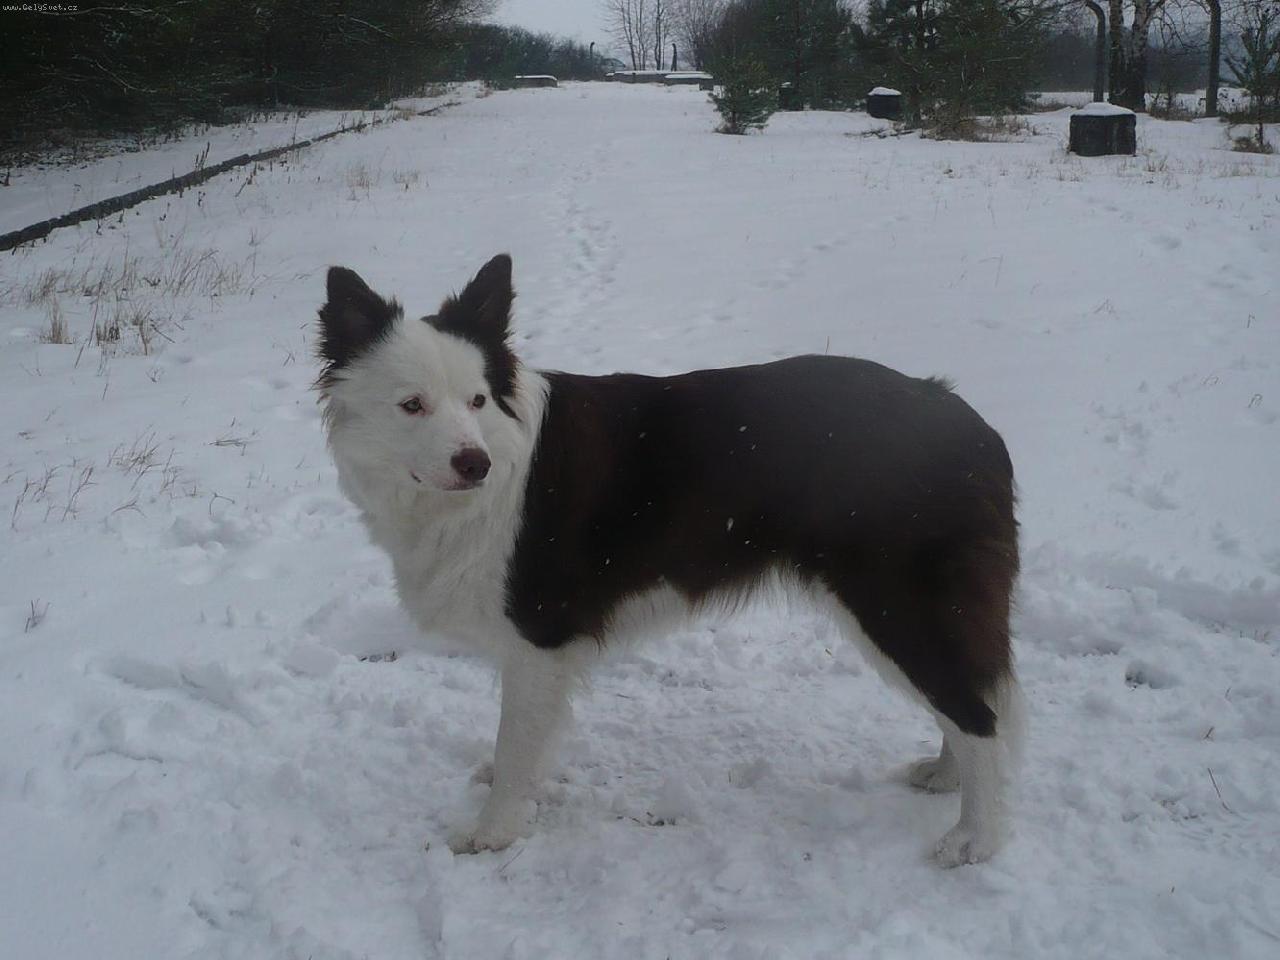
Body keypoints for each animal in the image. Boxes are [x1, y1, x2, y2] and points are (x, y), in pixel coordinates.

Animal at [317, 254, 1022, 866]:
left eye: (477, 400)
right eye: (412, 405)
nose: (475, 464)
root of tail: (966, 418)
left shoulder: (539, 634)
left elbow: (516, 744)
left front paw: (493, 832)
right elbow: (525, 740)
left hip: (897, 603)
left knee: (979, 717)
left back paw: (975, 839)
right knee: (966, 701)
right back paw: (945, 777)